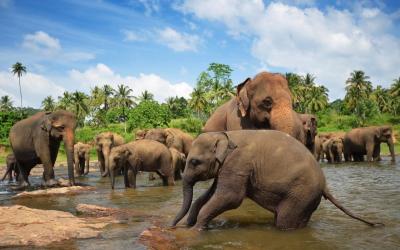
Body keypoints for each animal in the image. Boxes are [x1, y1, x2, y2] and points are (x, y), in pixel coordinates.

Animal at [172, 131, 382, 230]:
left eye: (195, 162)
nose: (172, 226)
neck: (225, 134)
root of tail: (325, 186)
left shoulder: (238, 163)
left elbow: (231, 197)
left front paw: (196, 230)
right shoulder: (228, 167)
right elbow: (211, 194)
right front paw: (191, 224)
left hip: (301, 194)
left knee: (284, 222)